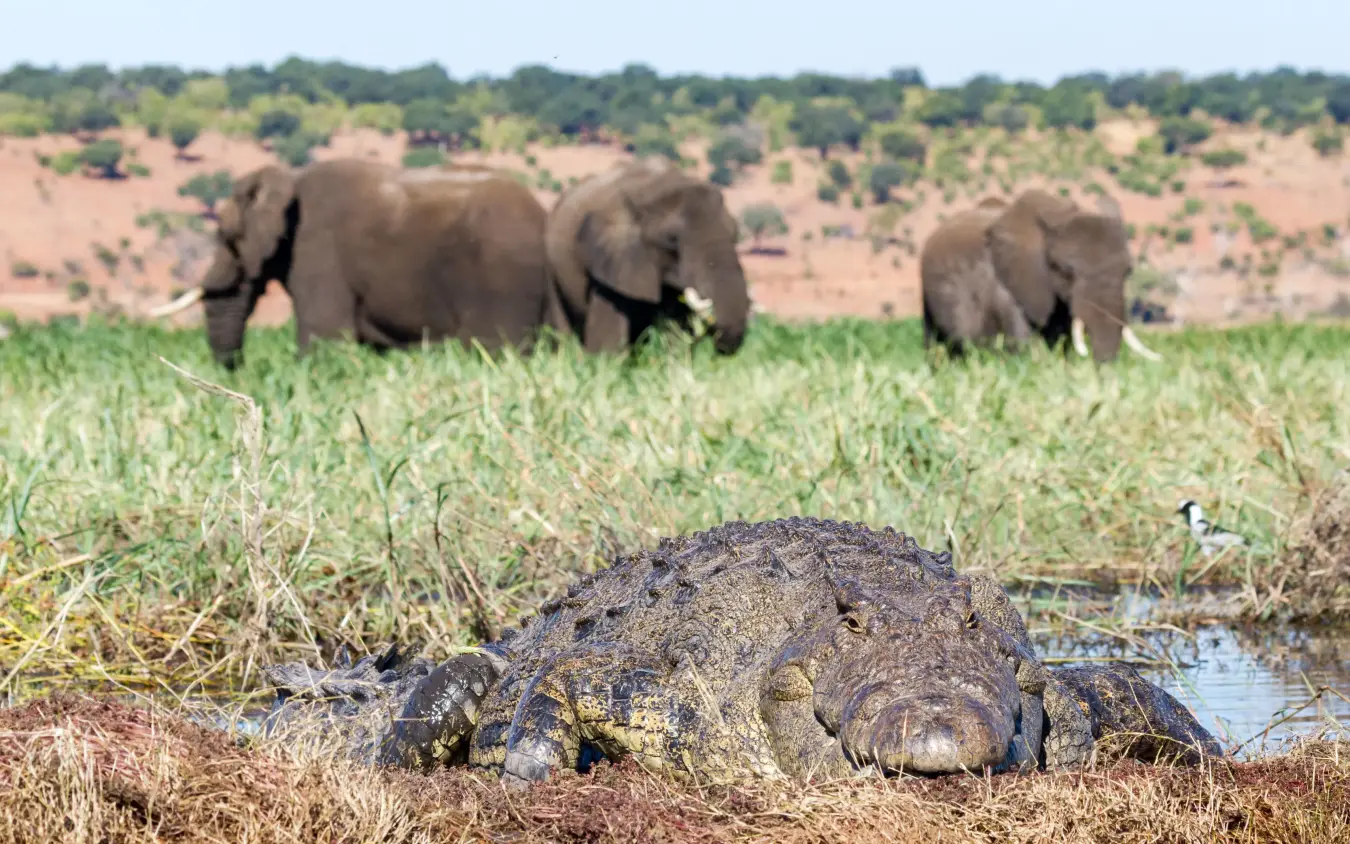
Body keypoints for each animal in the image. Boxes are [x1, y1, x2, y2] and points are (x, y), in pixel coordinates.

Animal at [149, 159, 565, 368]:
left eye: (226, 235)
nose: (239, 372)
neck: (289, 179)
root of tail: (543, 218)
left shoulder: (317, 249)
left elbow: (325, 337)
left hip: (503, 281)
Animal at [921, 189, 1161, 363]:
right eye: (1066, 271)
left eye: (1128, 271)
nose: (1104, 369)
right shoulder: (1009, 281)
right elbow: (1021, 336)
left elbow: (1061, 335)